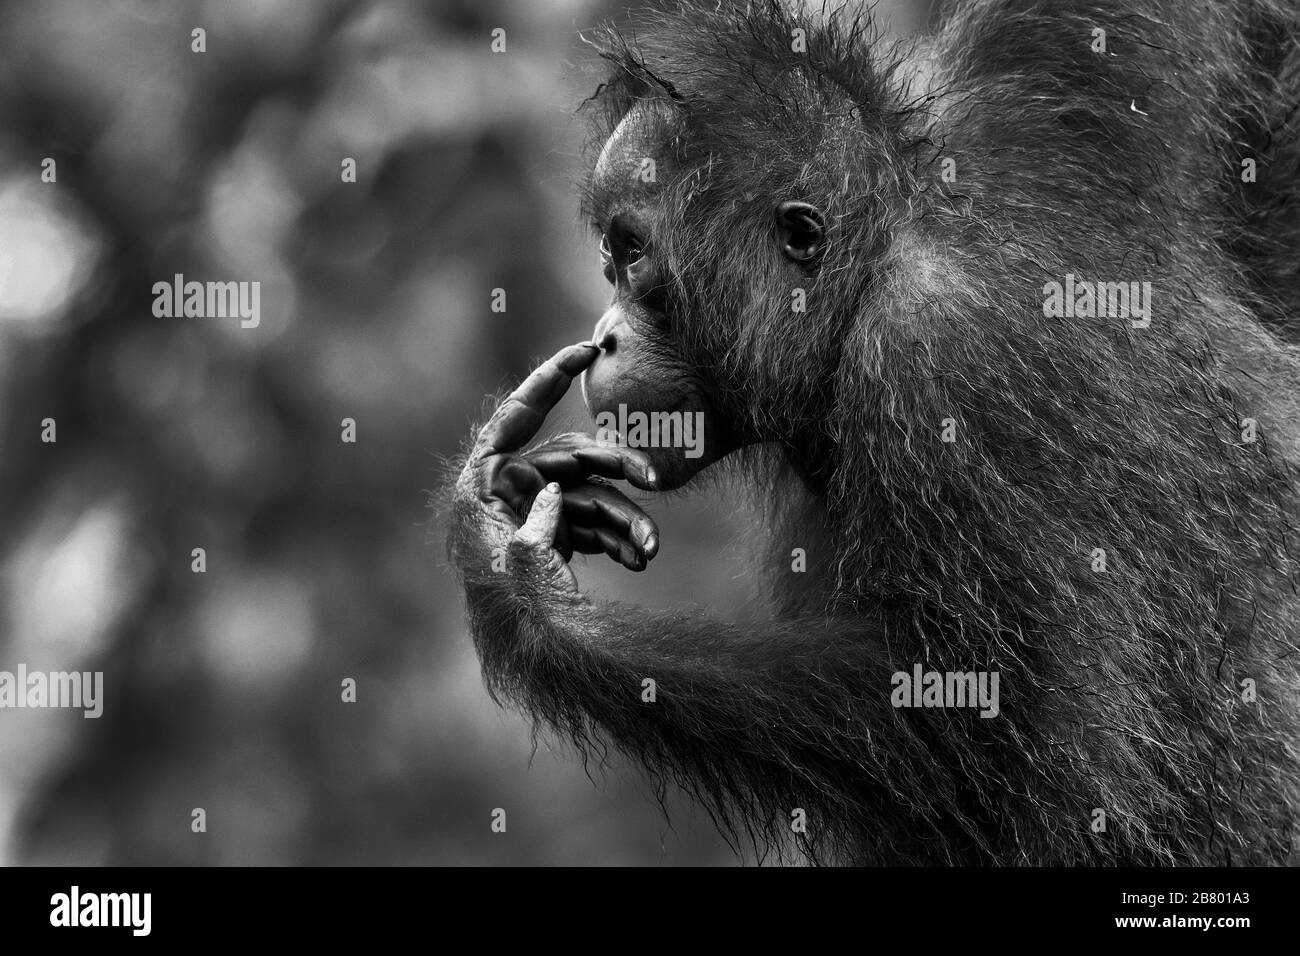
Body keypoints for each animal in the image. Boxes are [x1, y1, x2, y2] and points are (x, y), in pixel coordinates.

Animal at [446, 0, 1300, 864]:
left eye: (631, 253)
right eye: (610, 257)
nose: (606, 333)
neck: (863, 292)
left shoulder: (943, 374)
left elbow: (1029, 744)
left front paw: (521, 585)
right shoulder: (1055, 128)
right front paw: (517, 497)